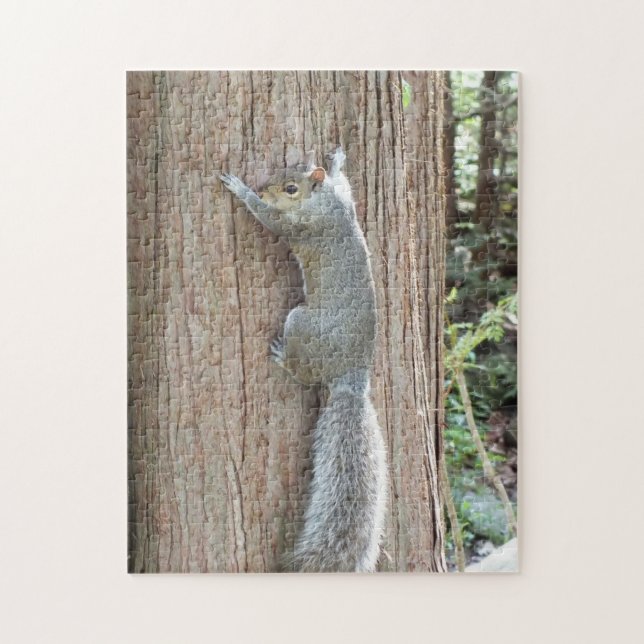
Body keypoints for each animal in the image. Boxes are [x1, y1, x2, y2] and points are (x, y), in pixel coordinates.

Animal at [220, 148, 387, 572]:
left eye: (291, 188)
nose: (265, 187)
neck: (323, 203)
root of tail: (353, 376)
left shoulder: (300, 227)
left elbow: (268, 218)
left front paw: (242, 190)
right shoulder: (345, 201)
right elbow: (346, 184)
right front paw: (337, 161)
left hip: (301, 323)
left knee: (305, 373)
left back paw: (283, 359)